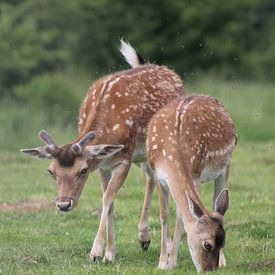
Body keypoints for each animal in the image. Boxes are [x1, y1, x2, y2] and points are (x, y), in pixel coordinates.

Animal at [21, 40, 185, 264]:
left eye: (82, 171)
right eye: (51, 171)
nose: (63, 204)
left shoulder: (123, 158)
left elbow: (107, 198)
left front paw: (96, 252)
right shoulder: (102, 165)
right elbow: (111, 201)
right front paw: (109, 253)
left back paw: (163, 244)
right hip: (143, 156)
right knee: (150, 177)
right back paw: (144, 238)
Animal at [147, 95, 237, 272]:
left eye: (223, 242)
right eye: (207, 245)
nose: (210, 270)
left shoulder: (196, 173)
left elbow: (181, 215)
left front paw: (172, 262)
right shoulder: (157, 174)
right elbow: (164, 215)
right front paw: (162, 263)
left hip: (225, 166)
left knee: (216, 200)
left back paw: (223, 261)